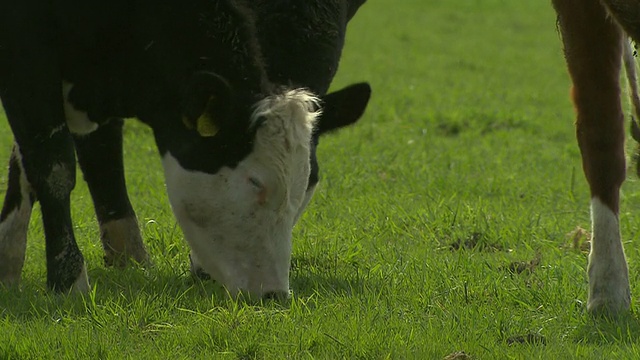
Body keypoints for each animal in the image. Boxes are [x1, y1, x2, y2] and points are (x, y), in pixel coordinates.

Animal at [0, 0, 368, 300]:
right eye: (255, 181)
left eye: (306, 184)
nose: (274, 294)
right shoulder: (26, 52)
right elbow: (52, 165)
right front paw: (67, 280)